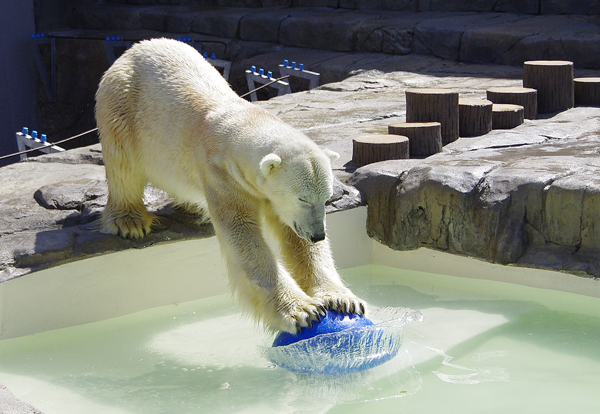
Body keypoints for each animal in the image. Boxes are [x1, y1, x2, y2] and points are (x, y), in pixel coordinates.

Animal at [97, 36, 366, 334]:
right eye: (302, 198)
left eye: (327, 198)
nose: (318, 234)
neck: (240, 121)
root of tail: (136, 48)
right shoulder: (222, 176)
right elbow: (243, 234)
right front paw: (303, 310)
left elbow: (296, 239)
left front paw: (341, 299)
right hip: (123, 105)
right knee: (123, 165)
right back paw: (130, 221)